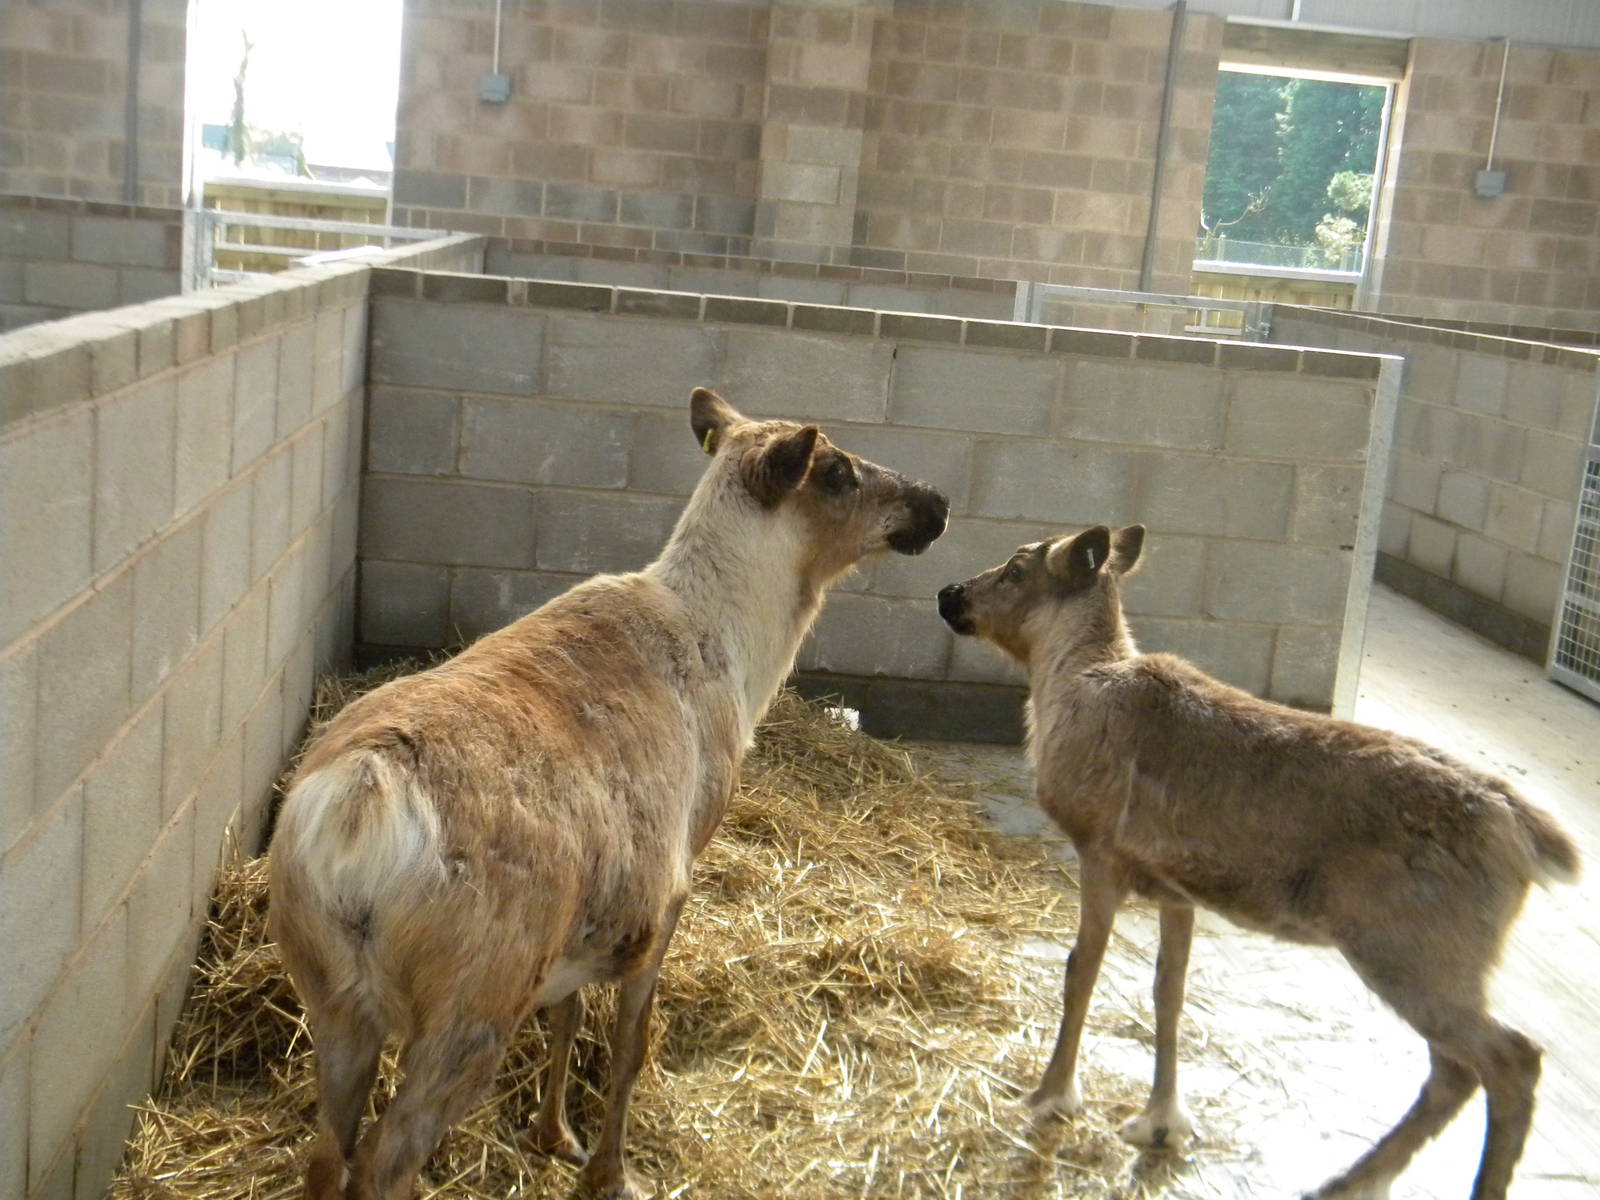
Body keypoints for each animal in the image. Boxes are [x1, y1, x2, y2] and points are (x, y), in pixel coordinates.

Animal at [267, 387, 948, 1200]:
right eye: (839, 471)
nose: (936, 501)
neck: (739, 655)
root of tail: (358, 805)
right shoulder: (676, 880)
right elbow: (631, 1041)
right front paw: (608, 1172)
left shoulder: (588, 926)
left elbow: (567, 1013)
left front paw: (552, 1132)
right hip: (471, 1005)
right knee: (381, 1163)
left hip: (331, 996)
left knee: (323, 1155)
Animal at [936, 524, 1578, 1200]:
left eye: (1015, 569)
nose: (949, 593)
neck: (1066, 683)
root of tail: (1527, 835)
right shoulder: (1175, 890)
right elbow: (1169, 991)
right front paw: (1162, 1120)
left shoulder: (1099, 852)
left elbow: (1080, 970)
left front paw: (1052, 1094)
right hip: (1434, 964)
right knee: (1454, 1073)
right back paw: (1349, 1180)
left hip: (1415, 953)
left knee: (1512, 1059)